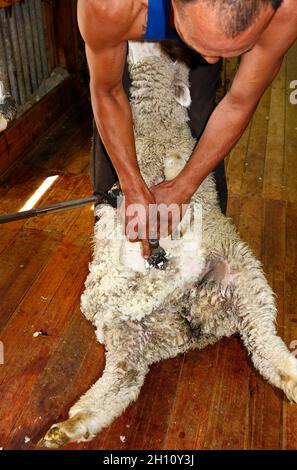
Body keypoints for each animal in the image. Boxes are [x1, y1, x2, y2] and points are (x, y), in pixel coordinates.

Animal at [40, 41, 296, 448]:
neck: (156, 122)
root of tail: (193, 321)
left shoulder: (188, 162)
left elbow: (182, 168)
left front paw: (175, 178)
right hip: (130, 337)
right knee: (120, 379)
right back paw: (68, 427)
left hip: (248, 286)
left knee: (264, 347)